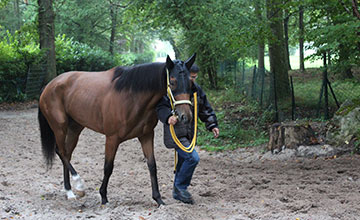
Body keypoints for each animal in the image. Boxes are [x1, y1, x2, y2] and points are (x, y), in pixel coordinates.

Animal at [37, 53, 195, 206]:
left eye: (191, 82)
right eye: (172, 82)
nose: (185, 116)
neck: (132, 96)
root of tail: (49, 85)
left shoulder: (146, 135)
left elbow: (152, 166)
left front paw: (158, 199)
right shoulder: (112, 138)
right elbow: (108, 167)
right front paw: (103, 197)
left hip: (75, 128)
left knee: (67, 153)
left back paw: (70, 191)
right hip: (60, 127)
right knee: (61, 152)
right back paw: (78, 186)